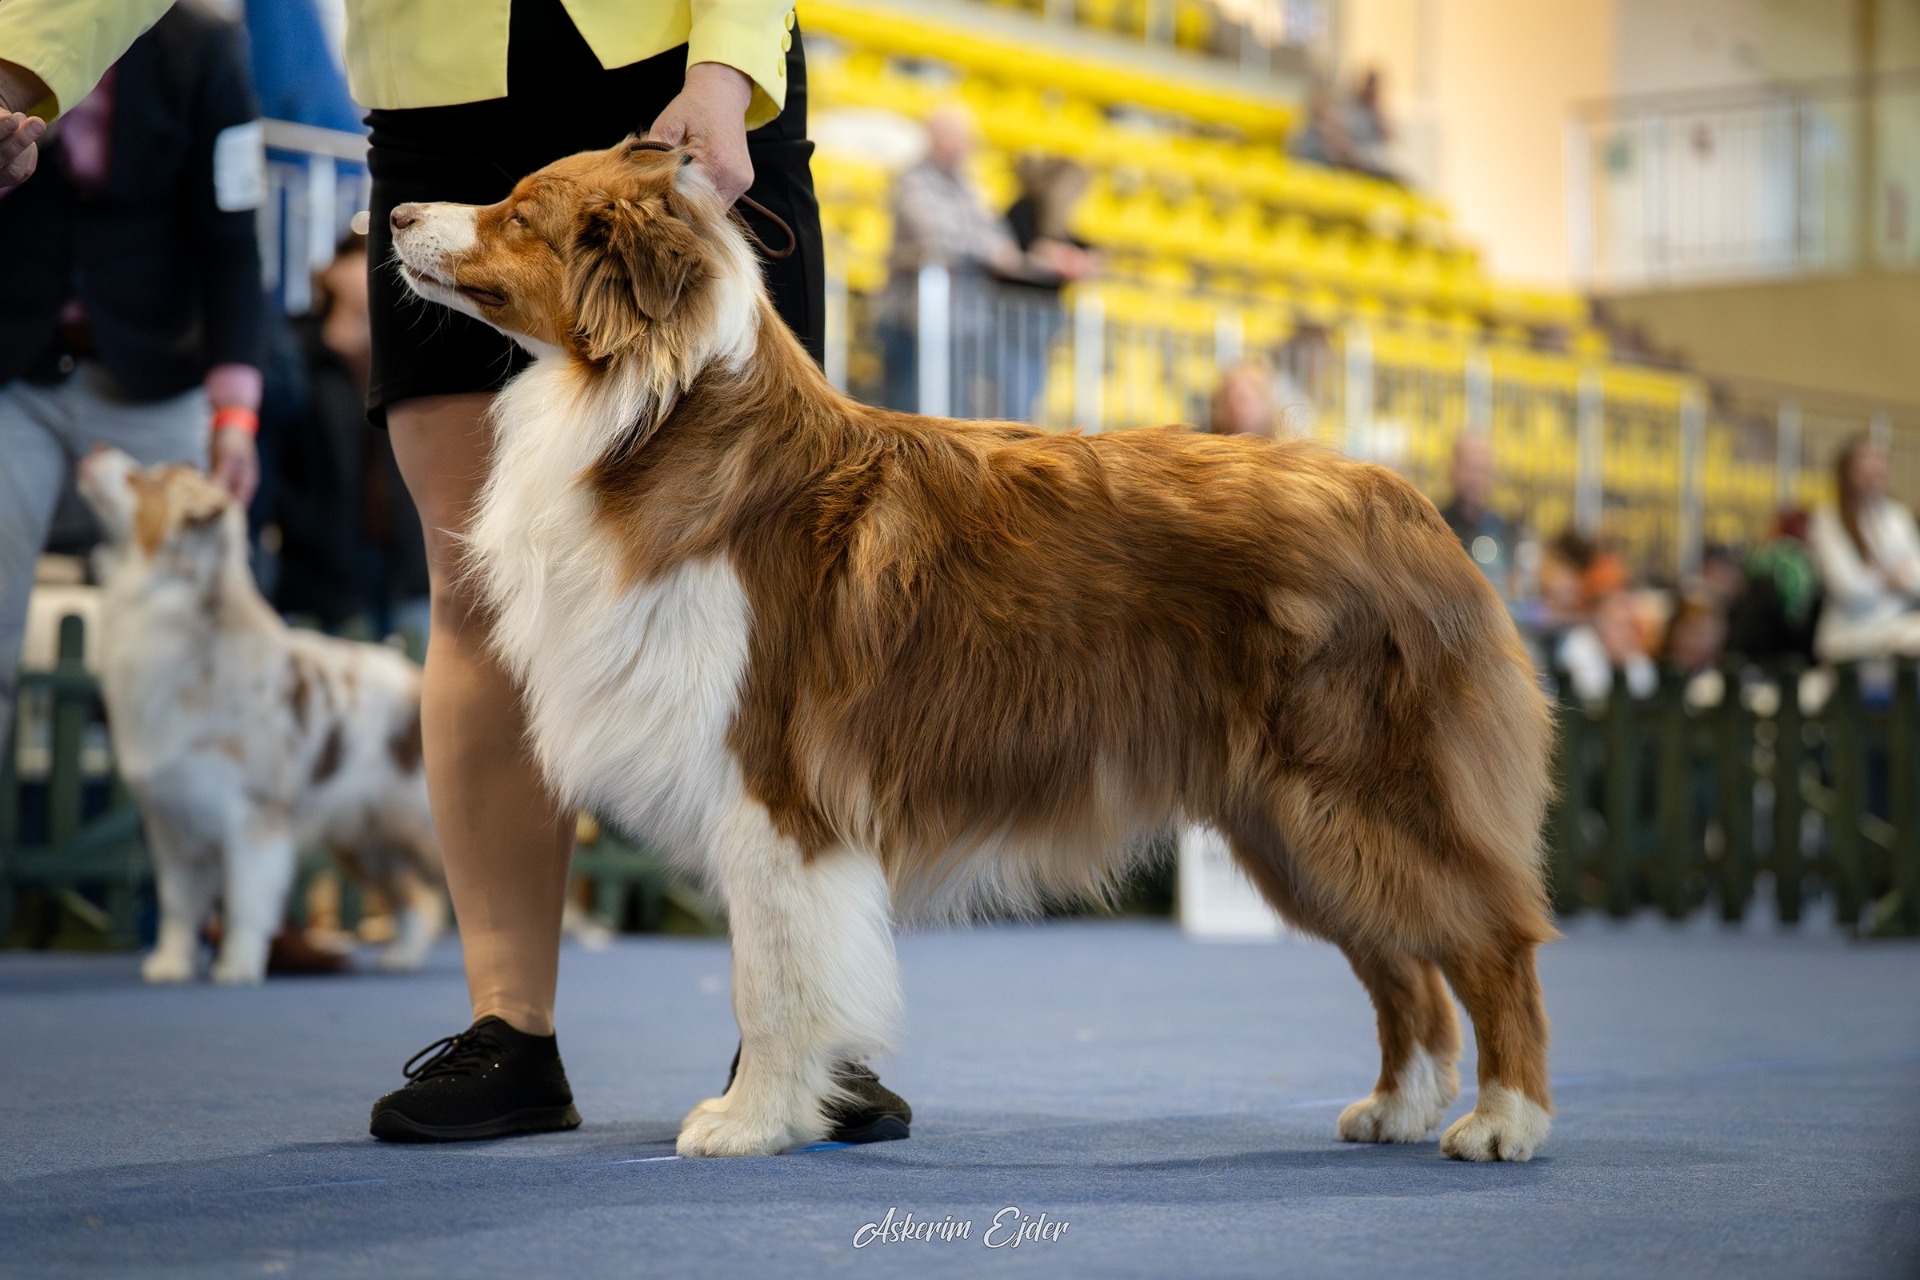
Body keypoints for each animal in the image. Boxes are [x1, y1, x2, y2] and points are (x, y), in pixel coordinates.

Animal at [76, 450, 447, 984]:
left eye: (147, 481)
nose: (96, 452)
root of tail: (414, 676)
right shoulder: (173, 820)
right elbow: (178, 905)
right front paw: (171, 963)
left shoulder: (252, 817)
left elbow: (246, 902)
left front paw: (237, 965)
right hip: (362, 836)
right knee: (415, 897)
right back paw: (402, 956)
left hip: (417, 824)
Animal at [390, 138, 1557, 1162]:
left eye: (518, 213)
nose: (394, 213)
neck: (655, 414)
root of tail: (1415, 509)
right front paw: (783, 1112)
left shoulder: (774, 791)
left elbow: (771, 981)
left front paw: (751, 1122)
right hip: (1289, 822)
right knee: (1403, 969)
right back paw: (1398, 1105)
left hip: (1364, 791)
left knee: (1494, 942)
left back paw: (1504, 1120)